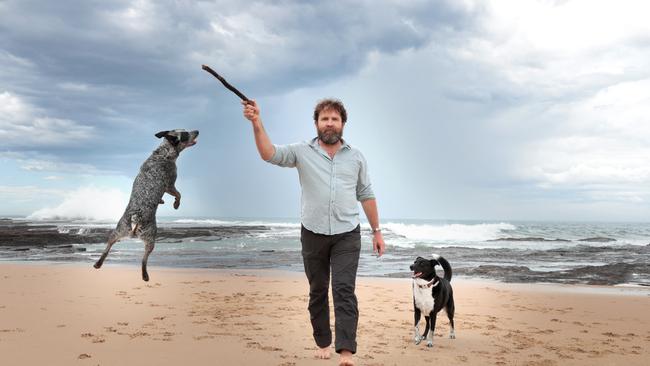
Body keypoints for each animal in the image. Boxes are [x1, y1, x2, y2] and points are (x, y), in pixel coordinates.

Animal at [92, 130, 196, 282]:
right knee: (144, 259)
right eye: (185, 134)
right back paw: (145, 275)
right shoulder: (170, 185)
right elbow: (178, 194)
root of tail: (137, 216)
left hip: (118, 231)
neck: (163, 153)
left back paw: (98, 263)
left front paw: (162, 201)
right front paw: (176, 204)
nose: (197, 131)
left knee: (108, 246)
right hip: (151, 238)